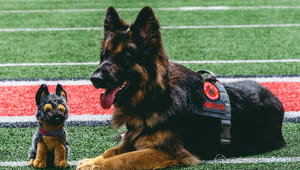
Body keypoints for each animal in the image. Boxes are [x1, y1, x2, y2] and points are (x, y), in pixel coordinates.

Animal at [77, 6, 284, 169]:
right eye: (105, 55)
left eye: (126, 56)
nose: (94, 79)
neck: (155, 97)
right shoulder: (132, 139)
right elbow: (111, 151)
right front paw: (92, 160)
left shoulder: (169, 151)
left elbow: (124, 159)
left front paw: (95, 165)